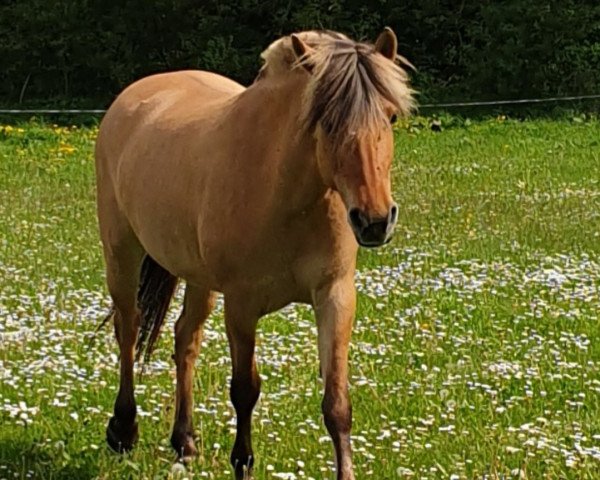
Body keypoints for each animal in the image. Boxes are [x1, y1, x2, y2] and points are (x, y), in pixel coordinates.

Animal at [95, 27, 412, 480]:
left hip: (199, 279)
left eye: (391, 117)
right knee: (128, 329)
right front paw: (242, 463)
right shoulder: (242, 305)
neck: (285, 190)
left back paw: (185, 441)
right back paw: (123, 429)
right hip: (122, 251)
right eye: (327, 121)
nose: (374, 220)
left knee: (185, 338)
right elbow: (244, 390)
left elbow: (337, 402)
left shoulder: (335, 296)